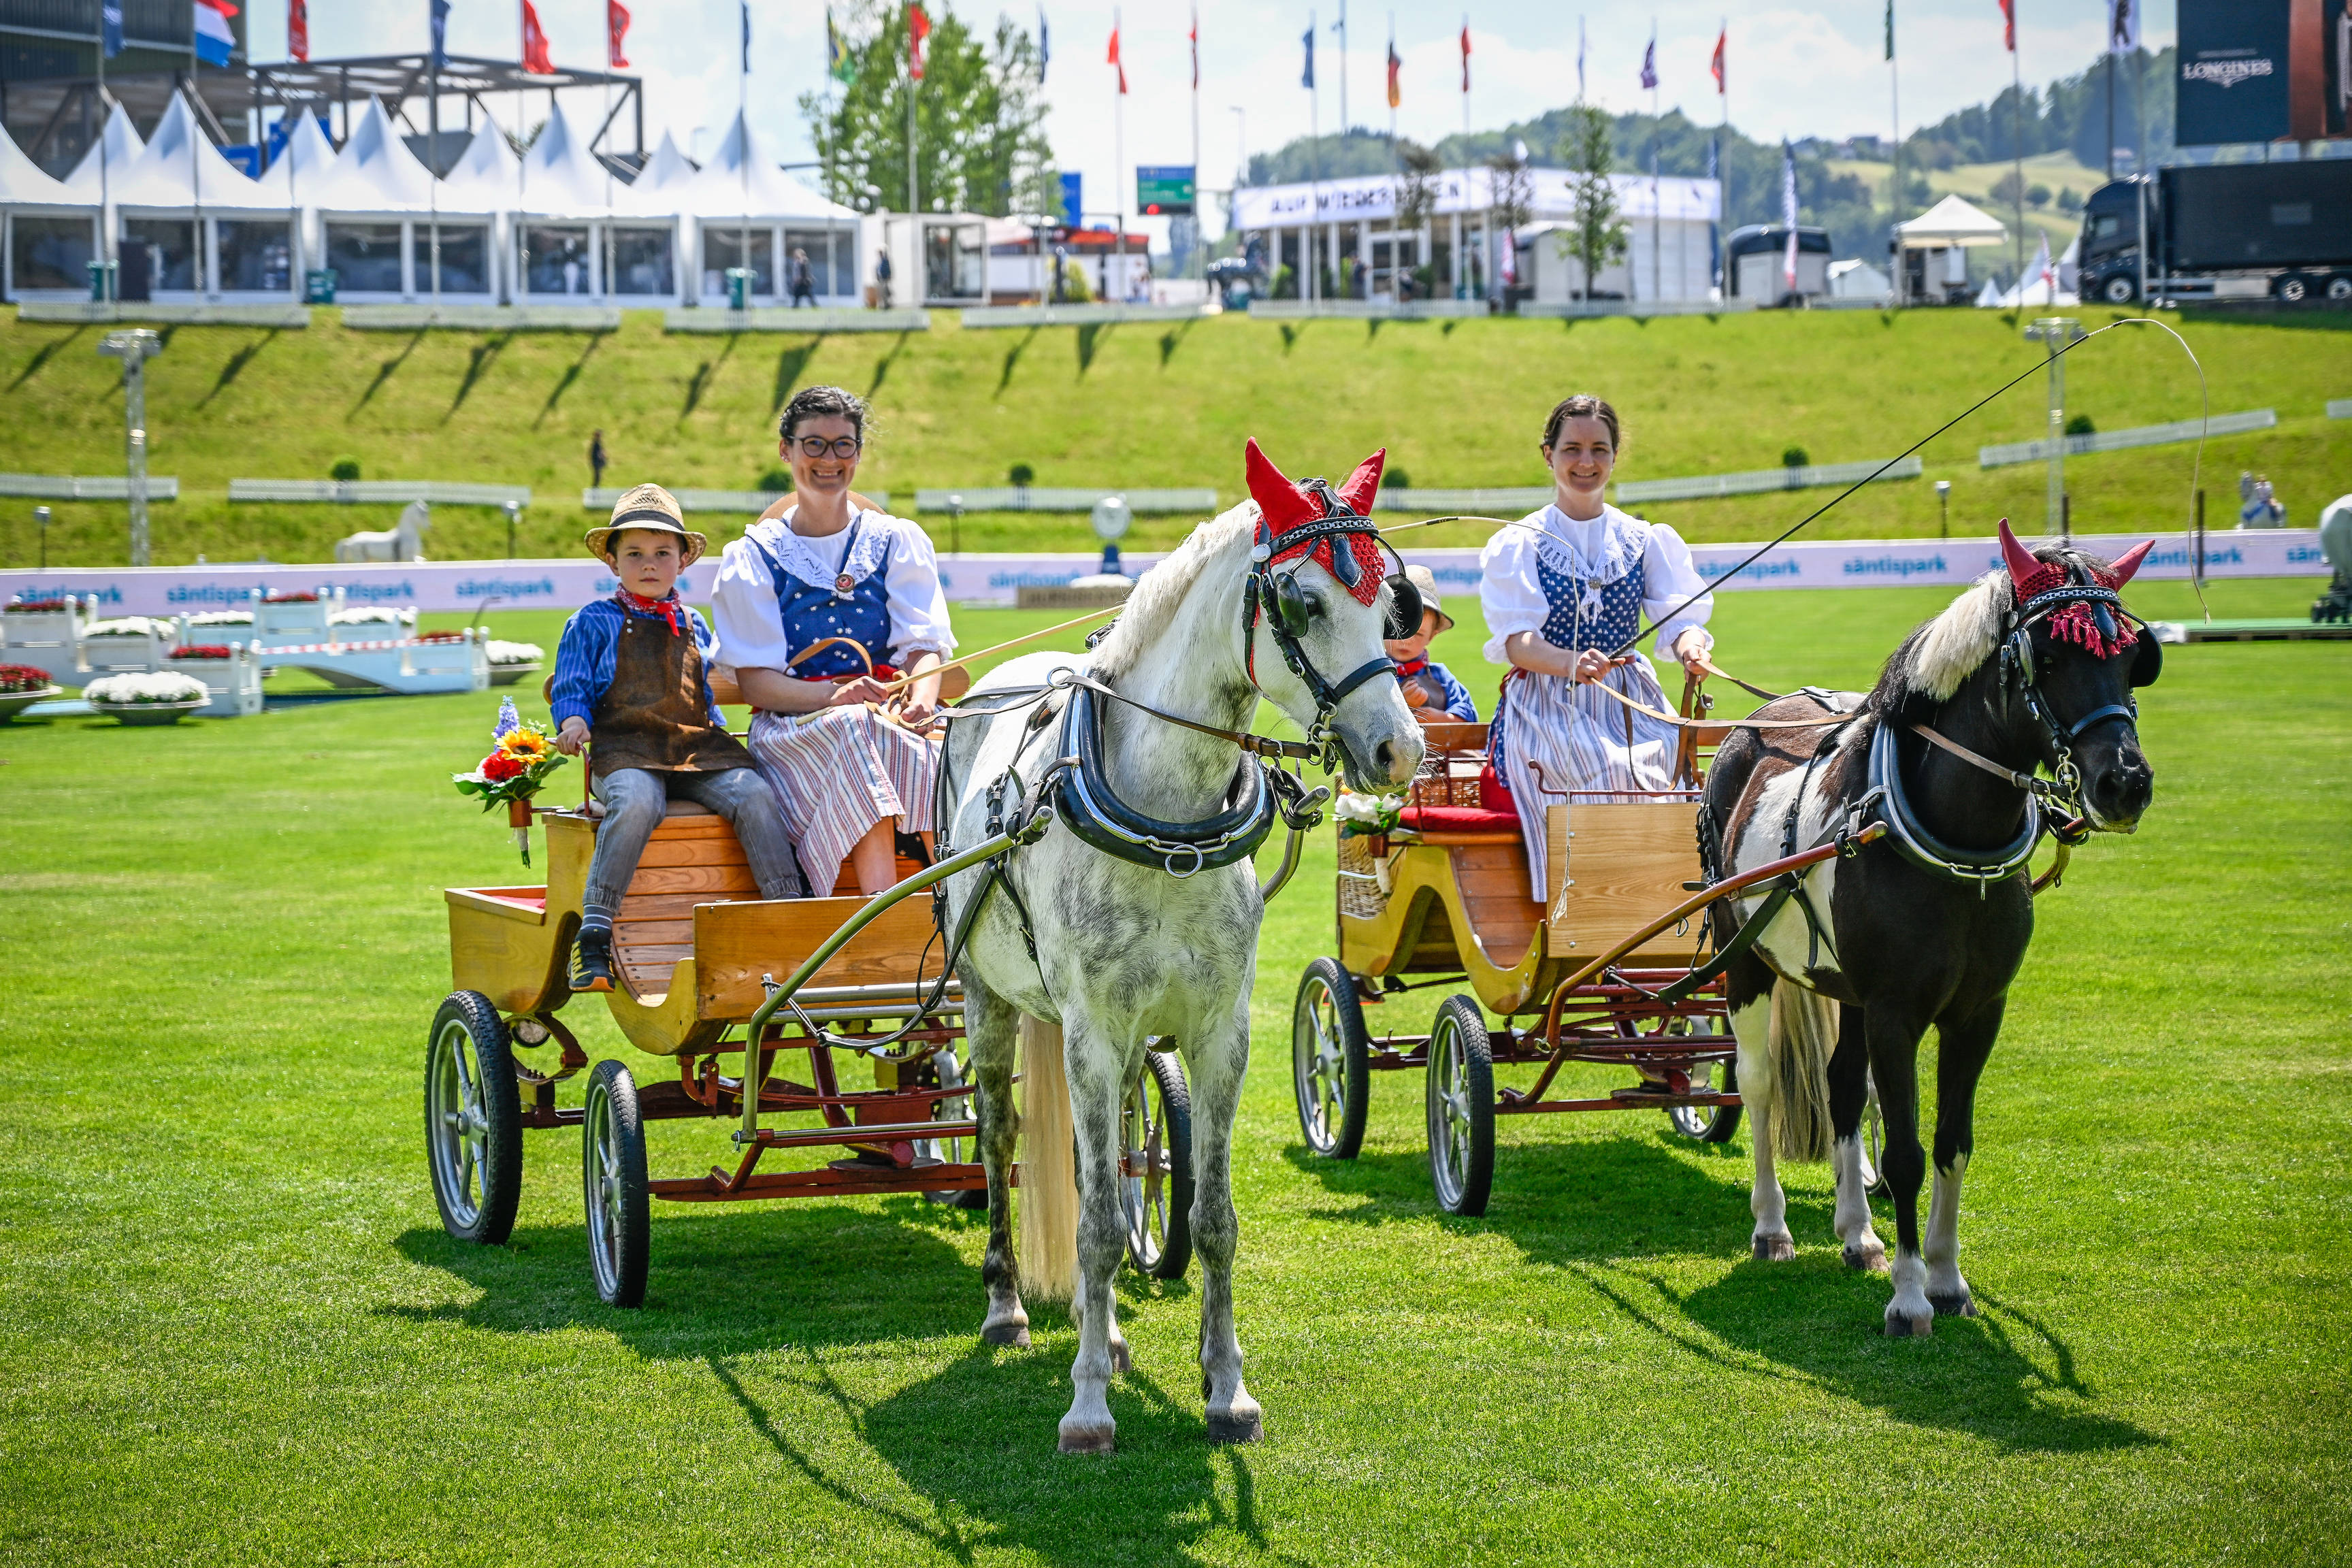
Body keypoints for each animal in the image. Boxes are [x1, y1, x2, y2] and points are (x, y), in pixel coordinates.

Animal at [931, 435, 1411, 1457]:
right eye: (1303, 603)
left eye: (1388, 601)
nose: (1403, 750)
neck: (1169, 819)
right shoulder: (1088, 1030)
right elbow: (1095, 1228)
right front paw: (1085, 1409)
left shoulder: (1221, 1029)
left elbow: (1209, 1215)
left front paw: (1225, 1386)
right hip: (991, 1003)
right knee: (999, 1136)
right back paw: (1008, 1306)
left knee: (1112, 1159)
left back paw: (1104, 1327)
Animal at [1703, 524, 2154, 1335]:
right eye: (2048, 657)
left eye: (2134, 657)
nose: (2125, 784)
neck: (1954, 842)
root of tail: (1759, 721)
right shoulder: (1897, 1012)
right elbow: (1909, 1152)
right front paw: (1911, 1297)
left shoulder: (1976, 1012)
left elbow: (1951, 1142)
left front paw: (1945, 1277)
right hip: (1745, 959)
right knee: (1756, 1084)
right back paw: (1772, 1226)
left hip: (1843, 984)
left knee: (1842, 1085)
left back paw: (1857, 1233)